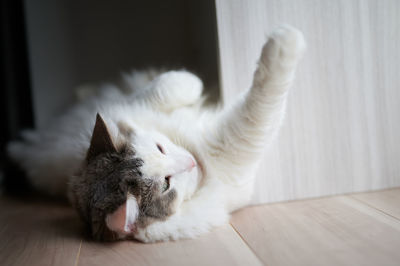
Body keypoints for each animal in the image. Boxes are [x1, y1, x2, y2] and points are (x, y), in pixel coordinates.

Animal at [8, 25, 304, 243]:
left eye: (161, 148)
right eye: (166, 185)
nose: (191, 162)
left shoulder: (129, 106)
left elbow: (169, 85)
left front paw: (193, 83)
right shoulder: (234, 145)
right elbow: (263, 100)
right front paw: (285, 41)